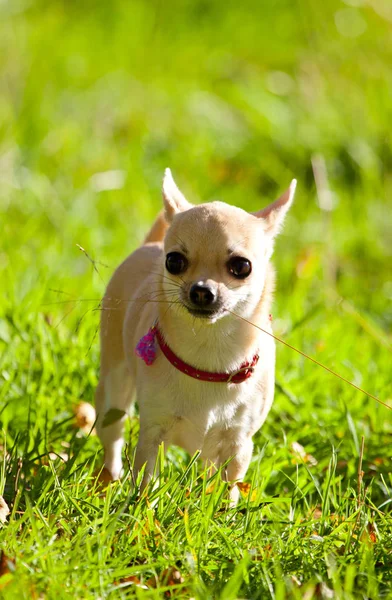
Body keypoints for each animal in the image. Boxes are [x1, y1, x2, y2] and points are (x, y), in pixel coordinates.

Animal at [96, 169, 296, 502]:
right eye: (174, 261)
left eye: (242, 266)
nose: (202, 290)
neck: (209, 350)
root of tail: (150, 244)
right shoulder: (153, 432)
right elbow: (147, 480)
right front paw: (142, 508)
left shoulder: (238, 444)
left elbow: (228, 488)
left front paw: (223, 512)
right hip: (113, 391)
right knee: (112, 435)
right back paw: (109, 482)